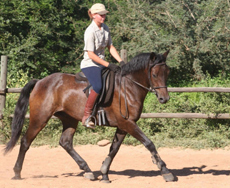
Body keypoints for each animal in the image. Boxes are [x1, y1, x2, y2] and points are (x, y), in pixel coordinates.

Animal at [3, 49, 176, 182]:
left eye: (167, 73)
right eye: (154, 75)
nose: (164, 98)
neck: (128, 87)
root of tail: (40, 81)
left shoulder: (124, 125)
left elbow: (114, 149)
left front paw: (104, 173)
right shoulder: (128, 123)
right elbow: (149, 143)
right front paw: (165, 171)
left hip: (69, 119)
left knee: (65, 142)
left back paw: (87, 170)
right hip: (40, 118)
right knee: (26, 141)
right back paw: (17, 172)